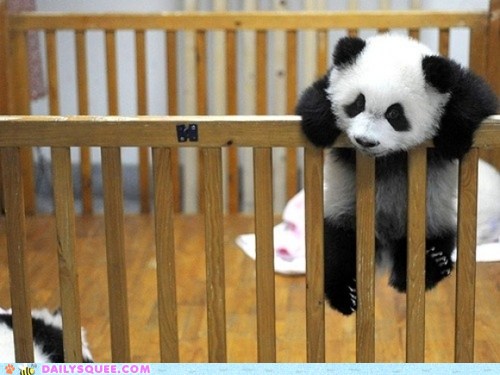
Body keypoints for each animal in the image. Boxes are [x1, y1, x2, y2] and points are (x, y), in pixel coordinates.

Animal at [294, 34, 498, 318]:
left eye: (394, 113)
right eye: (358, 103)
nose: (365, 141)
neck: (387, 157)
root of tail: (386, 247)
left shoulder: (454, 85)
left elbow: (477, 99)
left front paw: (452, 139)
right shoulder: (327, 83)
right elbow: (313, 97)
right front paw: (319, 127)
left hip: (431, 217)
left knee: (436, 241)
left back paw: (429, 264)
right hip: (344, 214)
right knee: (337, 249)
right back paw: (345, 295)